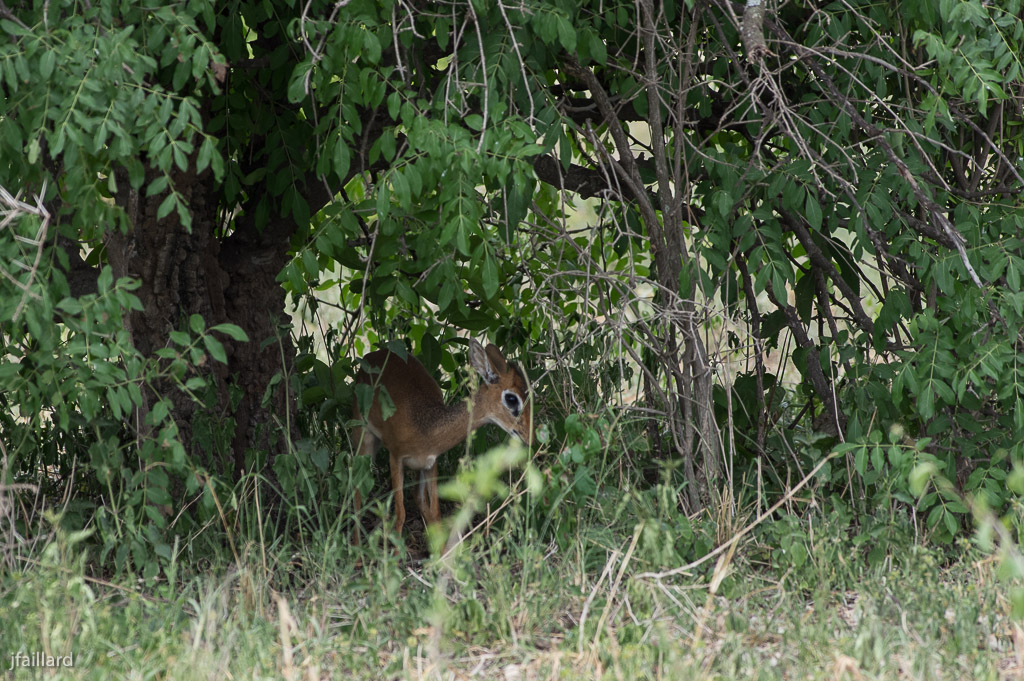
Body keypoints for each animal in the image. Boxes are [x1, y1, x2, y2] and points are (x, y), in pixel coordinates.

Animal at [352, 337, 532, 536]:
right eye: (511, 398)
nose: (529, 436)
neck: (425, 428)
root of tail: (371, 355)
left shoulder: (430, 463)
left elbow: (435, 511)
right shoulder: (395, 457)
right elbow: (400, 515)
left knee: (417, 496)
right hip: (364, 438)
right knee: (357, 491)